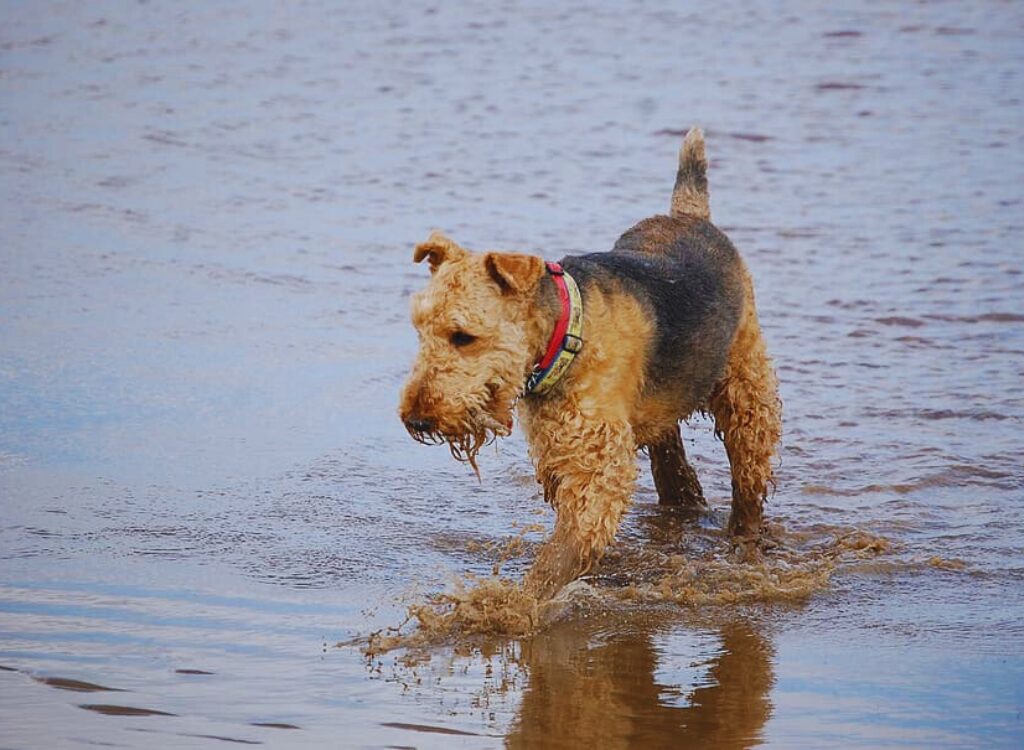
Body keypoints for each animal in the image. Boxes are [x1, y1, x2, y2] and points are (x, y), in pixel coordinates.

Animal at [395, 129, 778, 598]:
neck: (566, 336)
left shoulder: (597, 463)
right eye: (420, 329)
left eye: (463, 336)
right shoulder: (559, 453)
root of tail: (689, 214)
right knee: (673, 464)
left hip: (747, 391)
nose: (416, 419)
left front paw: (517, 604)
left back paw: (743, 542)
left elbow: (561, 554)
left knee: (748, 482)